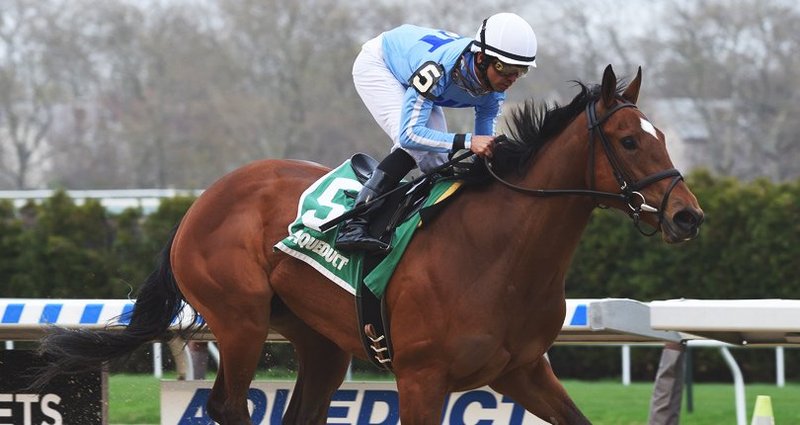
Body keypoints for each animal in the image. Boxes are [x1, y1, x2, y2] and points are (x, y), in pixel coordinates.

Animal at [34, 65, 703, 424]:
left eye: (663, 136)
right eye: (628, 140)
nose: (688, 216)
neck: (500, 256)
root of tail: (201, 202)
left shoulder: (521, 370)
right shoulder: (422, 378)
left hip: (320, 341)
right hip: (241, 320)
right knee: (228, 404)